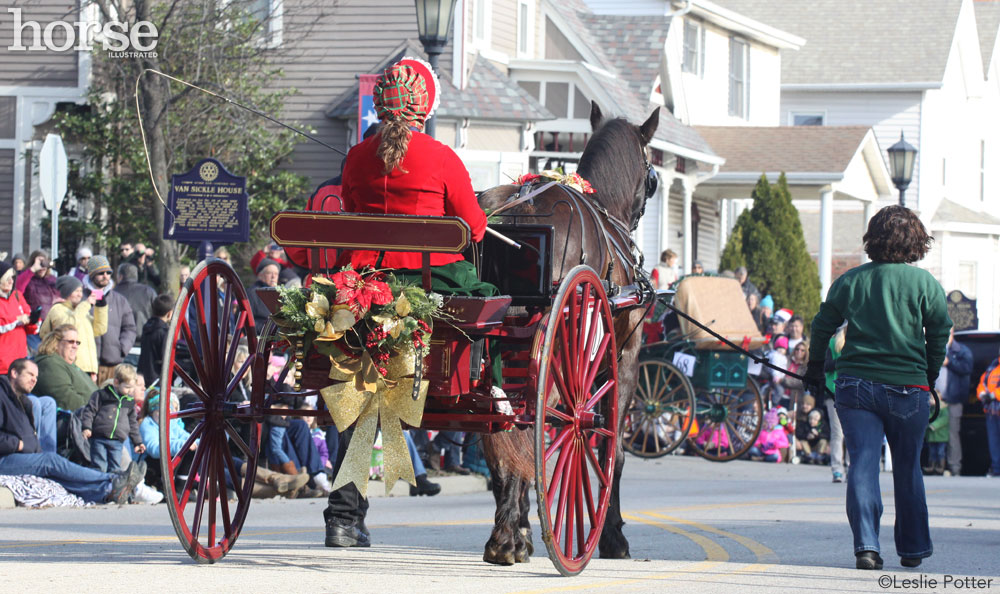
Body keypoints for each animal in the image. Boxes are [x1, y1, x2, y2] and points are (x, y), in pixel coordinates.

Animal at [478, 103, 660, 564]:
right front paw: (613, 536)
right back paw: (513, 536)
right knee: (538, 427)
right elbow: (611, 450)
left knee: (501, 427)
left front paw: (522, 524)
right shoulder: (624, 359)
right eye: (651, 175)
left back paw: (507, 533)